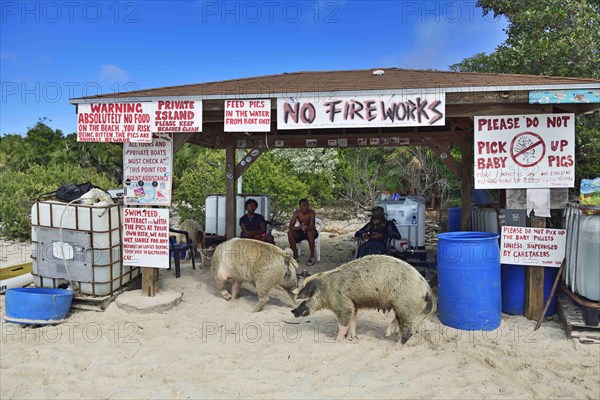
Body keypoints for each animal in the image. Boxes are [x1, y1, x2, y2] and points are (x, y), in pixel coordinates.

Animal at [290, 255, 436, 348]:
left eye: (304, 298)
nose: (292, 311)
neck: (327, 289)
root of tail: (427, 289)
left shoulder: (343, 304)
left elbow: (343, 323)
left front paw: (339, 341)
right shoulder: (353, 304)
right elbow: (353, 322)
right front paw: (352, 339)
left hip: (407, 307)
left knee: (408, 332)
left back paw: (394, 348)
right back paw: (390, 335)